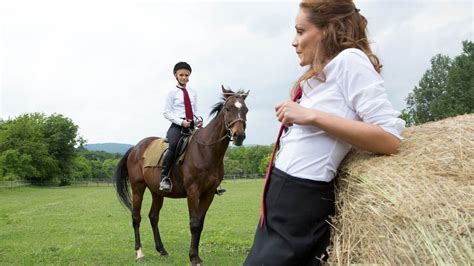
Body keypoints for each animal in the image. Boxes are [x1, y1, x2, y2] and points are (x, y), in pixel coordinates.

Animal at [113, 86, 250, 264]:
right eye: (228, 109)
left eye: (246, 110)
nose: (238, 136)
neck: (205, 150)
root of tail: (135, 148)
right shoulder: (193, 192)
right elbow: (194, 224)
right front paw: (193, 258)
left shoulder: (208, 194)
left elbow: (200, 223)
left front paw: (196, 256)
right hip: (138, 188)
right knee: (136, 217)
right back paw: (140, 253)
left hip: (157, 192)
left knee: (153, 217)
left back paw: (162, 250)